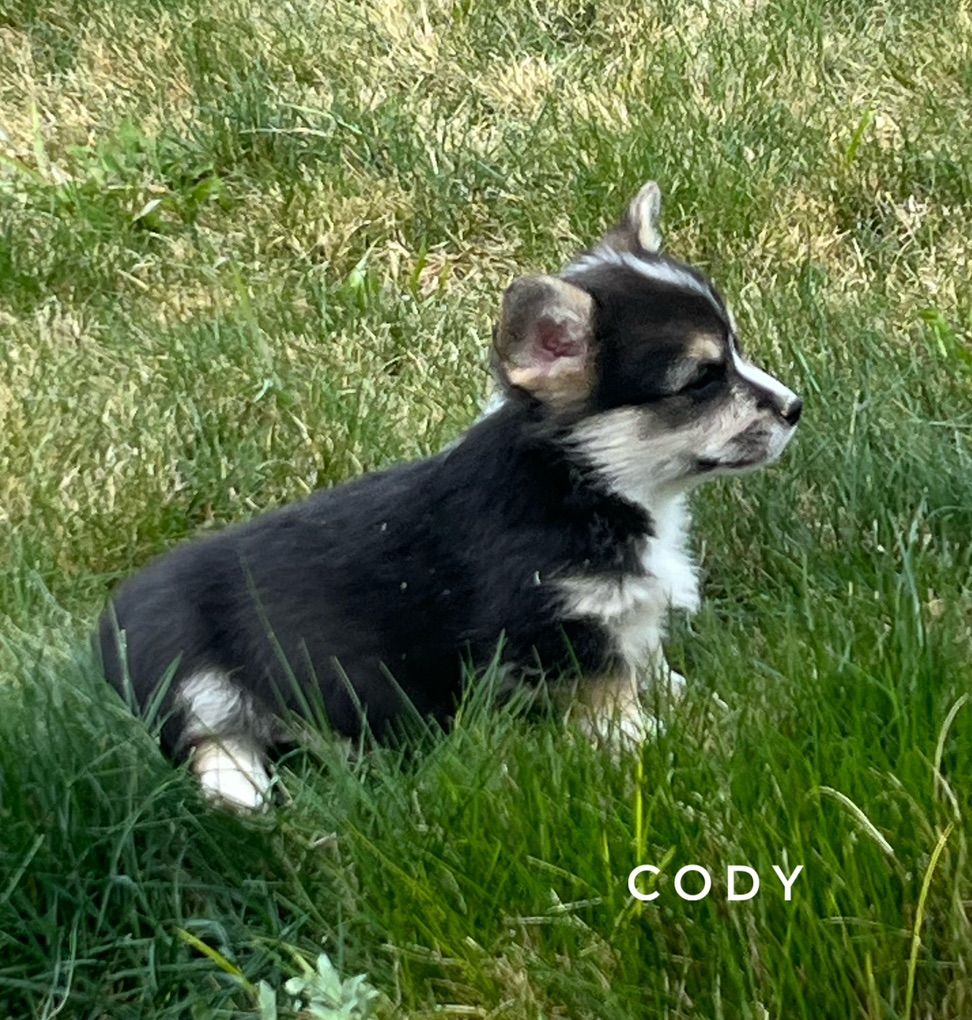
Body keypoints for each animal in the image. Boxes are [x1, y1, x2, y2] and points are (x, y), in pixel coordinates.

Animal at [98, 181, 802, 810]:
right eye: (702, 381)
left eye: (736, 351)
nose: (795, 407)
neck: (586, 482)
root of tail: (104, 630)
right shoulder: (559, 627)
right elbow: (611, 698)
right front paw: (657, 742)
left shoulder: (624, 615)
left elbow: (650, 662)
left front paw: (696, 701)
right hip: (187, 667)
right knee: (212, 741)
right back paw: (244, 793)